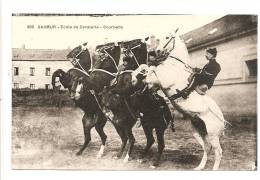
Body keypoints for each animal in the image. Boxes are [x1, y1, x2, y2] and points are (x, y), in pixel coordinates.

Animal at [131, 34, 226, 170]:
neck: (175, 66)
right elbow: (146, 67)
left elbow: (151, 69)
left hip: (213, 135)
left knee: (218, 152)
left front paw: (138, 77)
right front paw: (135, 76)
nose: (156, 51)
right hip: (199, 132)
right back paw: (199, 167)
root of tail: (222, 120)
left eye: (167, 37)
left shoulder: (162, 80)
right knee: (206, 148)